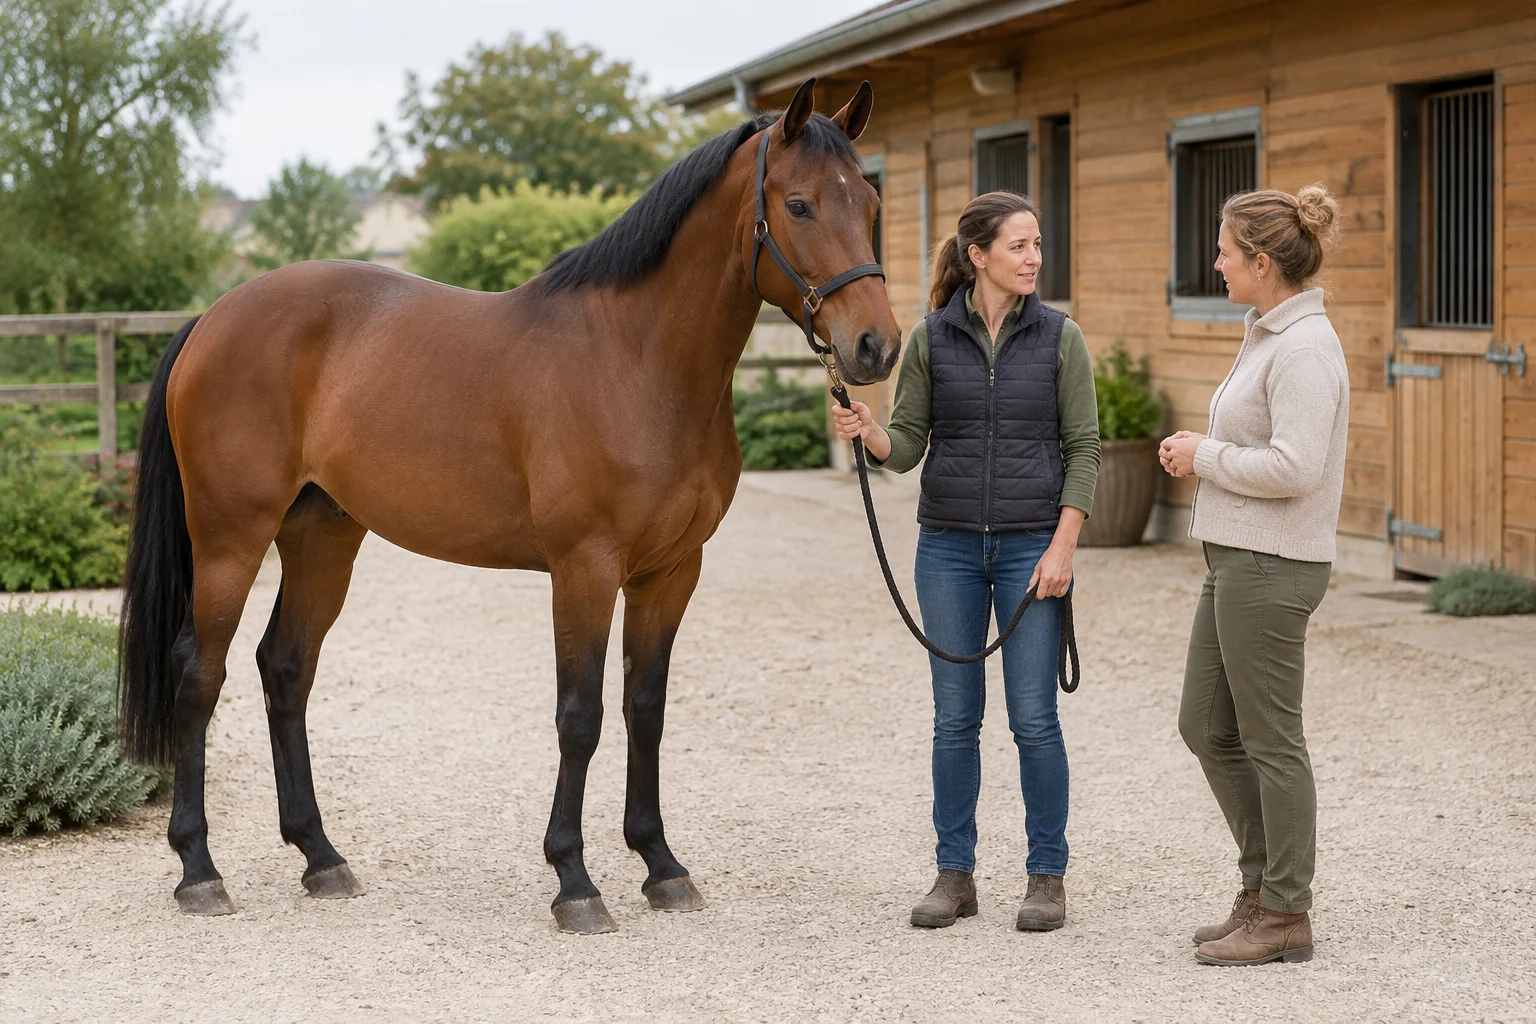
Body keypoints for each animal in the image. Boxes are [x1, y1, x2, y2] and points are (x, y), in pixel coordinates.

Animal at [115, 79, 899, 934]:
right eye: (798, 205)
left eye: (869, 201)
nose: (877, 346)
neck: (636, 359)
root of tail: (211, 319)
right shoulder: (585, 568)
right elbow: (580, 715)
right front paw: (575, 881)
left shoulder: (670, 573)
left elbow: (646, 709)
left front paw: (661, 865)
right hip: (231, 538)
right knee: (201, 672)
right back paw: (198, 869)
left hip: (322, 537)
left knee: (285, 668)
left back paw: (321, 857)